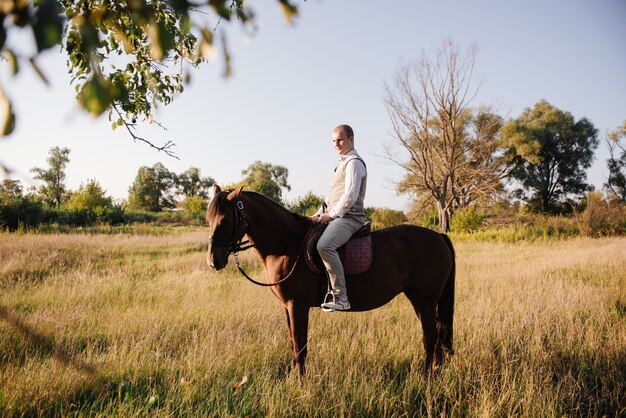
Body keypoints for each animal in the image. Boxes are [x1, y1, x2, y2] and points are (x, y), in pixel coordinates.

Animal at [205, 185, 454, 380]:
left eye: (225, 220)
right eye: (208, 219)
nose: (214, 261)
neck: (288, 244)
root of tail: (439, 236)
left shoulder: (297, 305)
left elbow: (300, 346)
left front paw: (301, 386)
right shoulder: (287, 307)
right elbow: (293, 343)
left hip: (426, 300)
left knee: (430, 337)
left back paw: (426, 379)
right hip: (420, 300)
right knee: (437, 335)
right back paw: (436, 373)